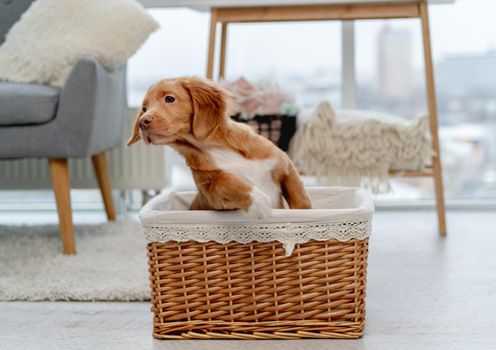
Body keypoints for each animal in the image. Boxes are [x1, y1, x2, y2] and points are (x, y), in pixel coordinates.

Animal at [128, 77, 310, 219]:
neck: (211, 146)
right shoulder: (212, 194)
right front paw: (257, 200)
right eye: (144, 108)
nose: (142, 122)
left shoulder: (284, 164)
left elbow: (299, 196)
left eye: (170, 99)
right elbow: (225, 181)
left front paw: (304, 215)